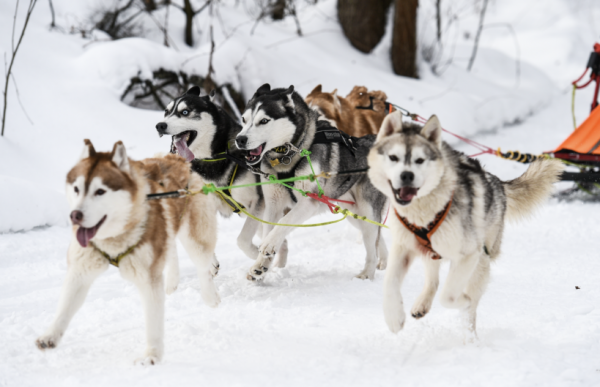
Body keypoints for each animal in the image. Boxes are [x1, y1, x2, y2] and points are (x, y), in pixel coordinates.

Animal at [35, 141, 219, 366]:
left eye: (100, 191)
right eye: (76, 188)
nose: (75, 215)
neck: (114, 237)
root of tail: (177, 158)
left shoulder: (148, 278)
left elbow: (153, 321)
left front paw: (151, 355)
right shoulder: (80, 271)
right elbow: (64, 308)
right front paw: (50, 335)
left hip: (195, 236)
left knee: (202, 264)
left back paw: (210, 294)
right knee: (172, 248)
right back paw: (173, 281)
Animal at [234, 83, 390, 280]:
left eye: (264, 121)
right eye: (244, 119)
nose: (240, 139)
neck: (288, 155)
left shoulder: (309, 202)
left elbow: (283, 223)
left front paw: (269, 245)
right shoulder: (273, 203)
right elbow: (271, 227)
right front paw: (260, 266)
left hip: (367, 209)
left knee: (372, 242)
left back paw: (367, 273)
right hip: (354, 213)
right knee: (377, 235)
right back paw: (382, 261)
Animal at [368, 111, 564, 334]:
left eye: (420, 160)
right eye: (393, 157)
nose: (406, 175)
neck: (425, 211)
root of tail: (496, 182)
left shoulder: (469, 255)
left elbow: (449, 296)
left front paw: (464, 301)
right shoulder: (403, 247)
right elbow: (390, 283)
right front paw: (394, 317)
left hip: (481, 260)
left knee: (467, 305)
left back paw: (469, 334)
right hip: (433, 250)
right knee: (433, 280)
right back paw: (422, 303)